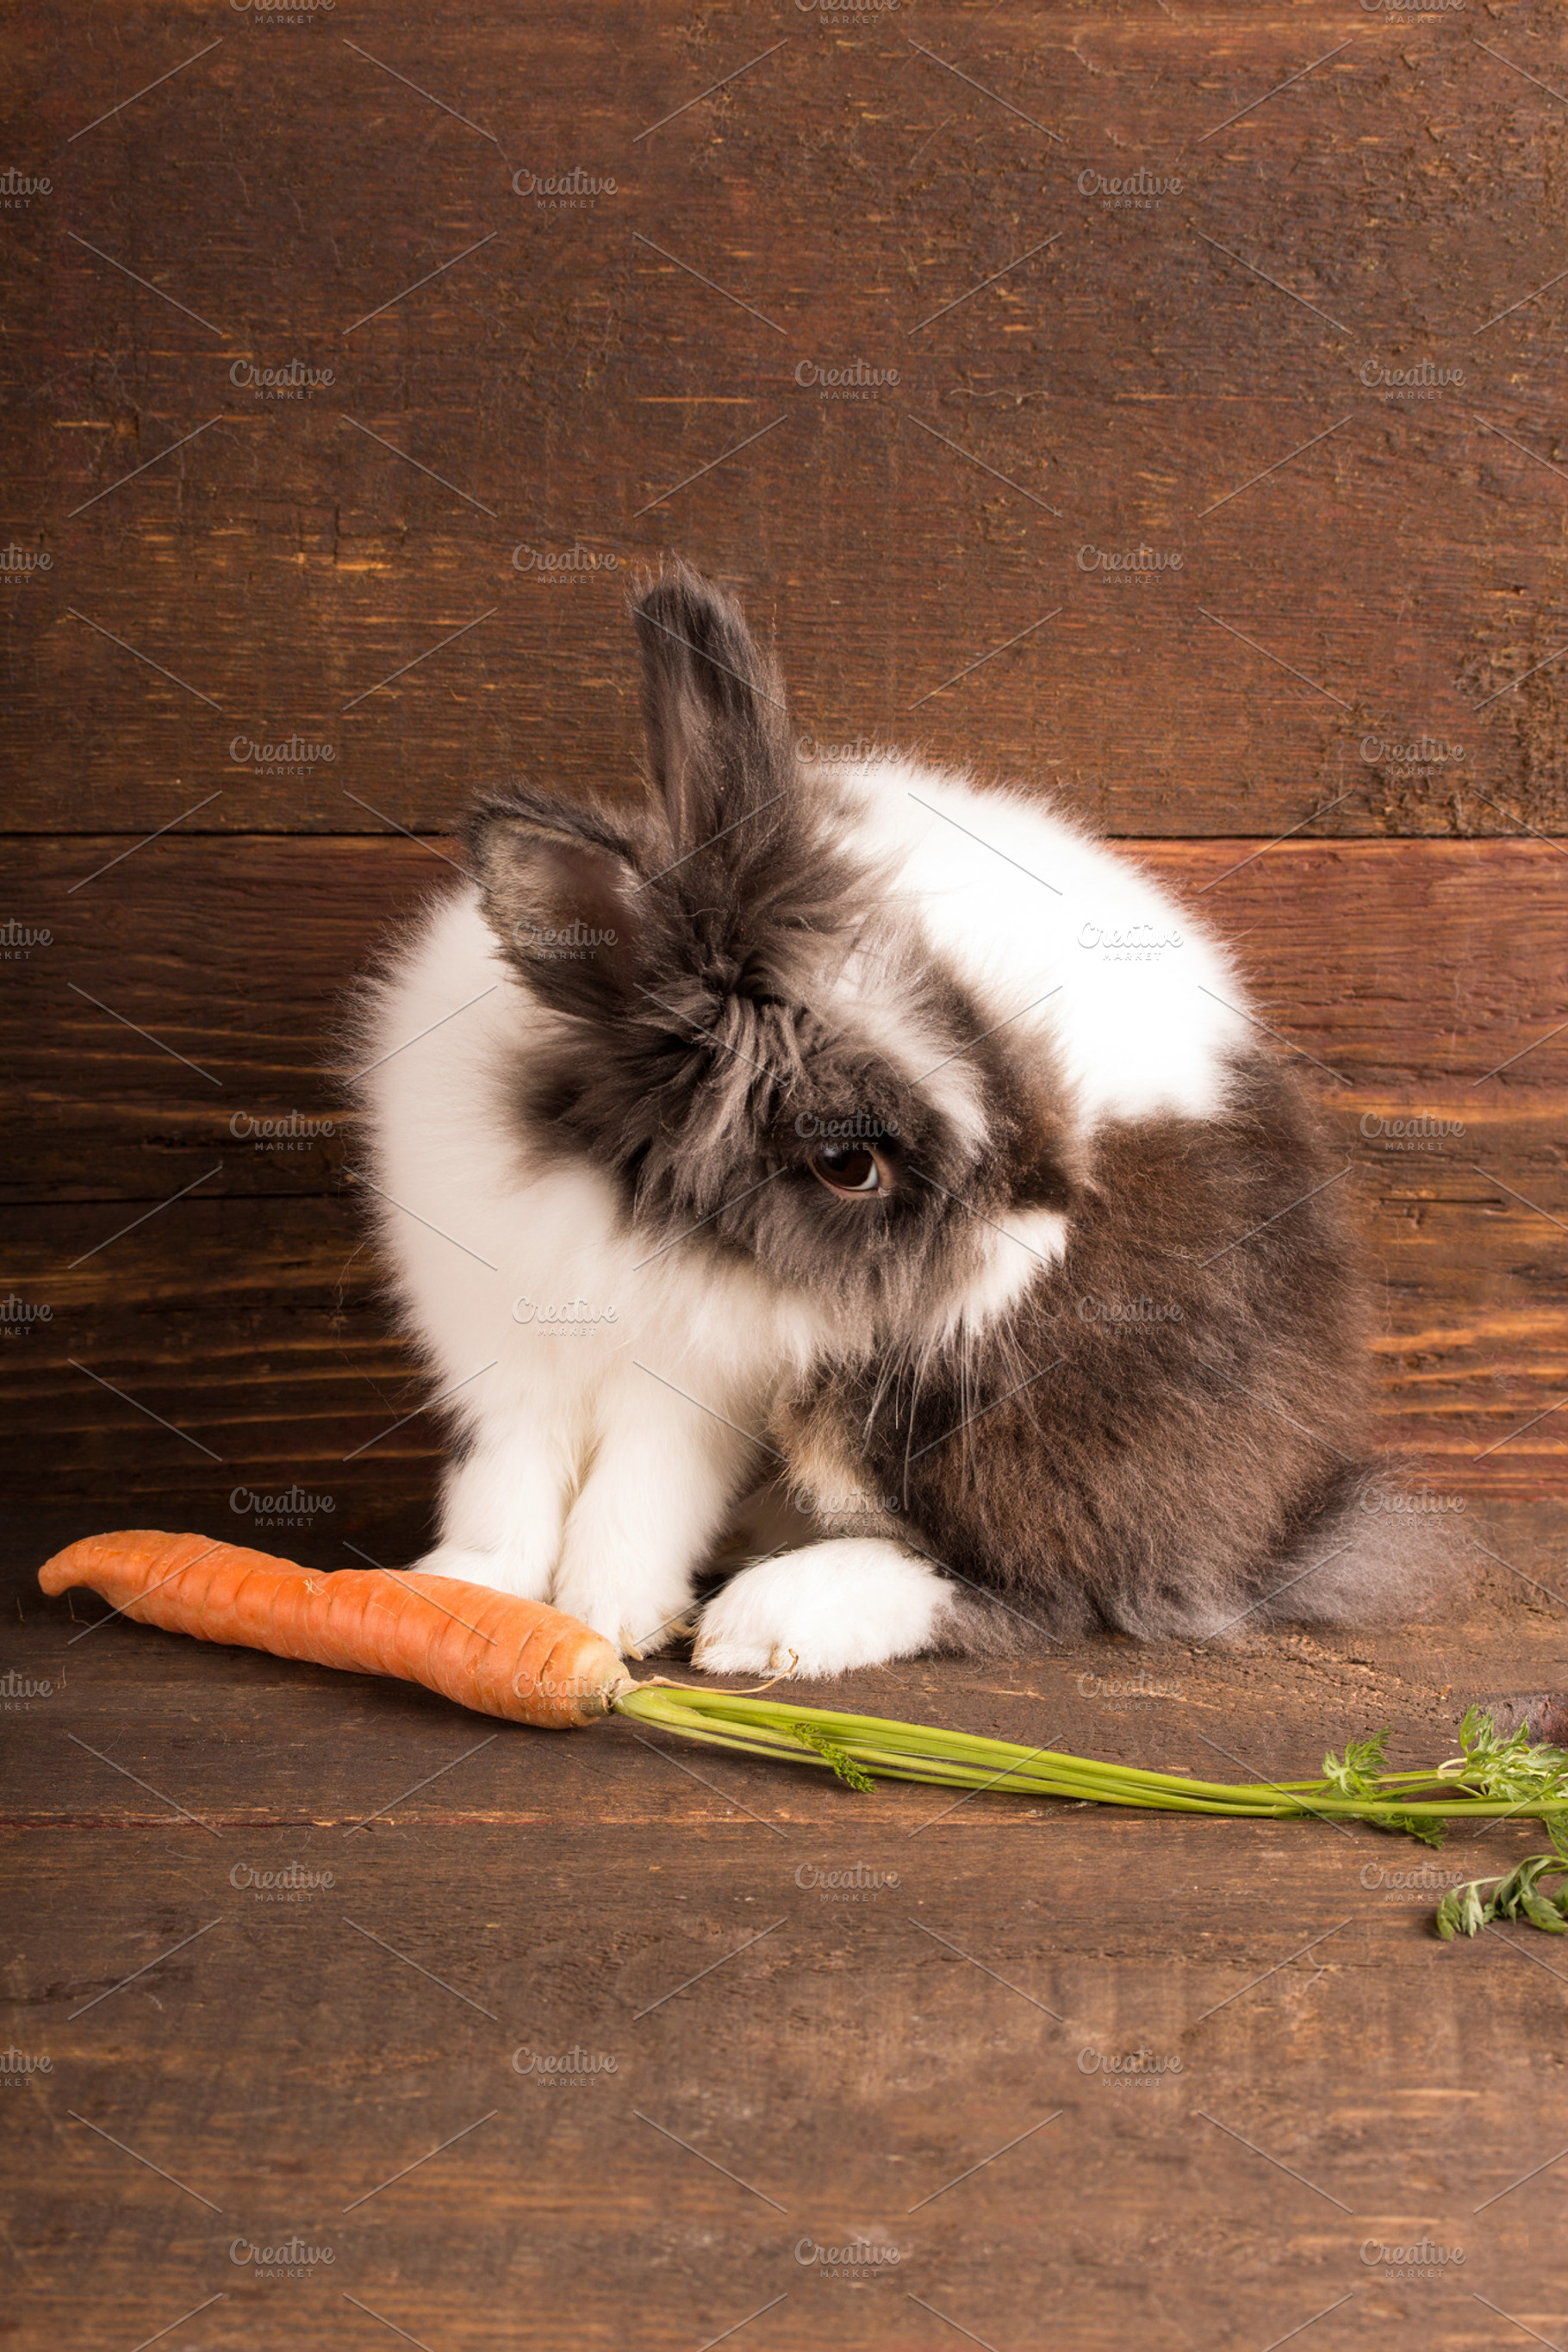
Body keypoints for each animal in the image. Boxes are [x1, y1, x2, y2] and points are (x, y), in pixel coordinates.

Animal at [353, 562, 1443, 1676]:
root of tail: (1292, 1498)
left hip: (932, 1410)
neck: (608, 1186)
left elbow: (638, 1497)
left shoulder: (698, 1389)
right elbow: (503, 1487)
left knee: (1054, 1578)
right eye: (846, 1162)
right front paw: (466, 1596)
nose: (1047, 1221)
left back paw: (772, 1618)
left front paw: (607, 1618)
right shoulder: (499, 1365)